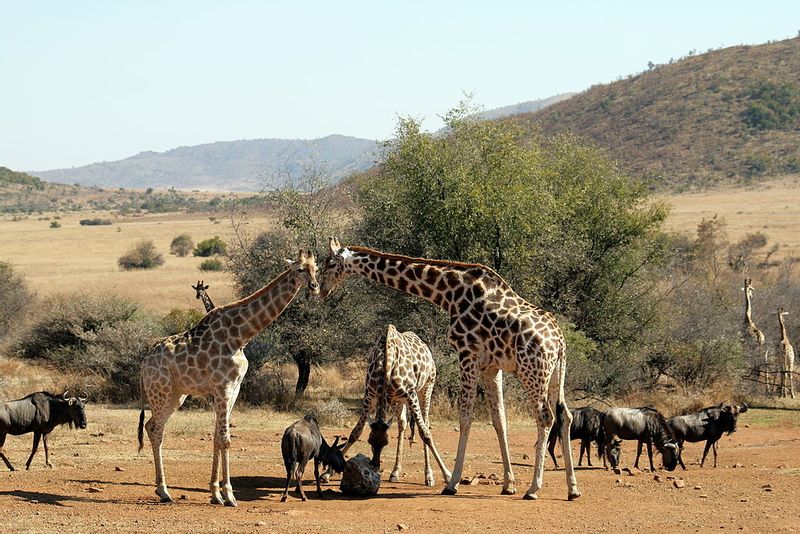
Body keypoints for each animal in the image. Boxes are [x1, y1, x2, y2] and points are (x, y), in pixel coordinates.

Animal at [139, 251, 320, 506]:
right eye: (299, 269)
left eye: (316, 268)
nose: (314, 286)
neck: (241, 336)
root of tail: (144, 363)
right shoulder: (223, 388)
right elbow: (225, 440)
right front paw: (230, 495)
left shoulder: (233, 389)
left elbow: (217, 438)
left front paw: (216, 494)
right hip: (160, 392)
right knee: (156, 429)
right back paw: (164, 491)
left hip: (177, 395)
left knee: (151, 426)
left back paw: (162, 490)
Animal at [324, 324, 450, 488]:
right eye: (370, 441)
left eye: (385, 443)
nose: (376, 465)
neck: (386, 365)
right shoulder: (369, 396)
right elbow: (355, 433)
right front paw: (327, 473)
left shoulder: (411, 394)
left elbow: (425, 434)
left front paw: (447, 476)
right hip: (399, 399)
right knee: (402, 423)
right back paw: (395, 472)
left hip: (427, 386)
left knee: (426, 423)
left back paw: (428, 476)